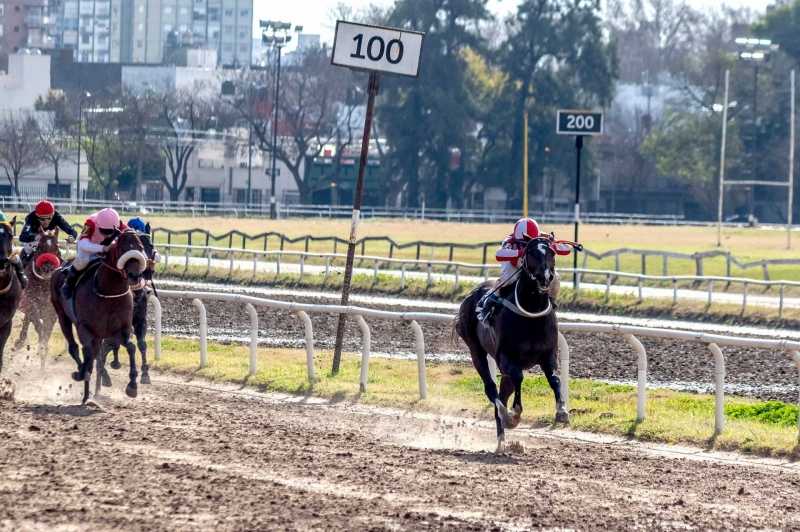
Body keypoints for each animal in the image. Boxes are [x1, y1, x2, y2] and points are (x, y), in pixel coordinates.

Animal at [50, 230, 146, 404]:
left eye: (140, 247)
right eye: (122, 248)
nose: (135, 275)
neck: (109, 292)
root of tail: (62, 265)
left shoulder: (121, 329)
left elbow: (130, 347)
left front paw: (132, 386)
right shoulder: (84, 327)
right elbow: (87, 351)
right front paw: (82, 373)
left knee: (95, 354)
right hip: (62, 315)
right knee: (75, 347)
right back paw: (83, 377)